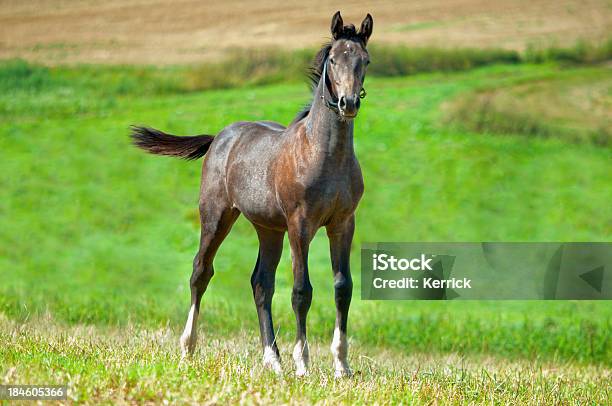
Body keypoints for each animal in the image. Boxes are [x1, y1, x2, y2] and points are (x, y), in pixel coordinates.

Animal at [133, 10, 372, 378]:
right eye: (333, 59)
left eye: (365, 60)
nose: (349, 103)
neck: (323, 154)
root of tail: (220, 136)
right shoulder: (300, 225)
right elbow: (302, 291)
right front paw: (303, 364)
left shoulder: (343, 223)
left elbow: (342, 288)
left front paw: (341, 366)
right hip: (217, 216)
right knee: (201, 271)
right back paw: (188, 349)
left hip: (268, 229)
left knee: (261, 282)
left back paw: (271, 359)